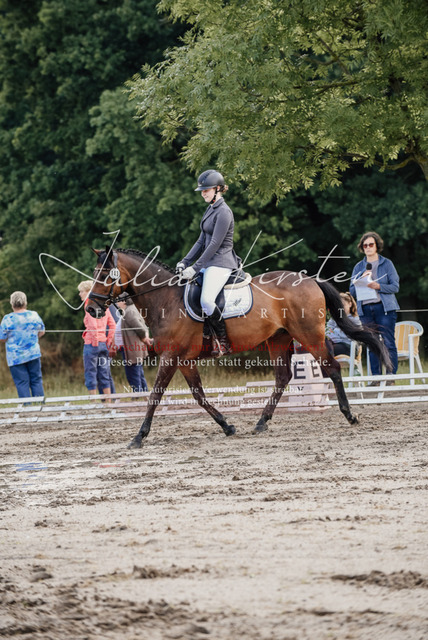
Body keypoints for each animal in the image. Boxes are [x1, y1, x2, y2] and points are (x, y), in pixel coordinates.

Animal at [87, 245, 391, 449]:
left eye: (106, 275)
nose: (91, 308)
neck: (166, 300)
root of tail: (310, 279)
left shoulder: (171, 357)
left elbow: (155, 395)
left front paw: (138, 436)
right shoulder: (184, 360)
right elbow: (199, 396)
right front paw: (227, 426)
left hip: (309, 336)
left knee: (333, 368)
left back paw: (349, 415)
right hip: (279, 339)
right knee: (283, 377)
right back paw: (261, 422)